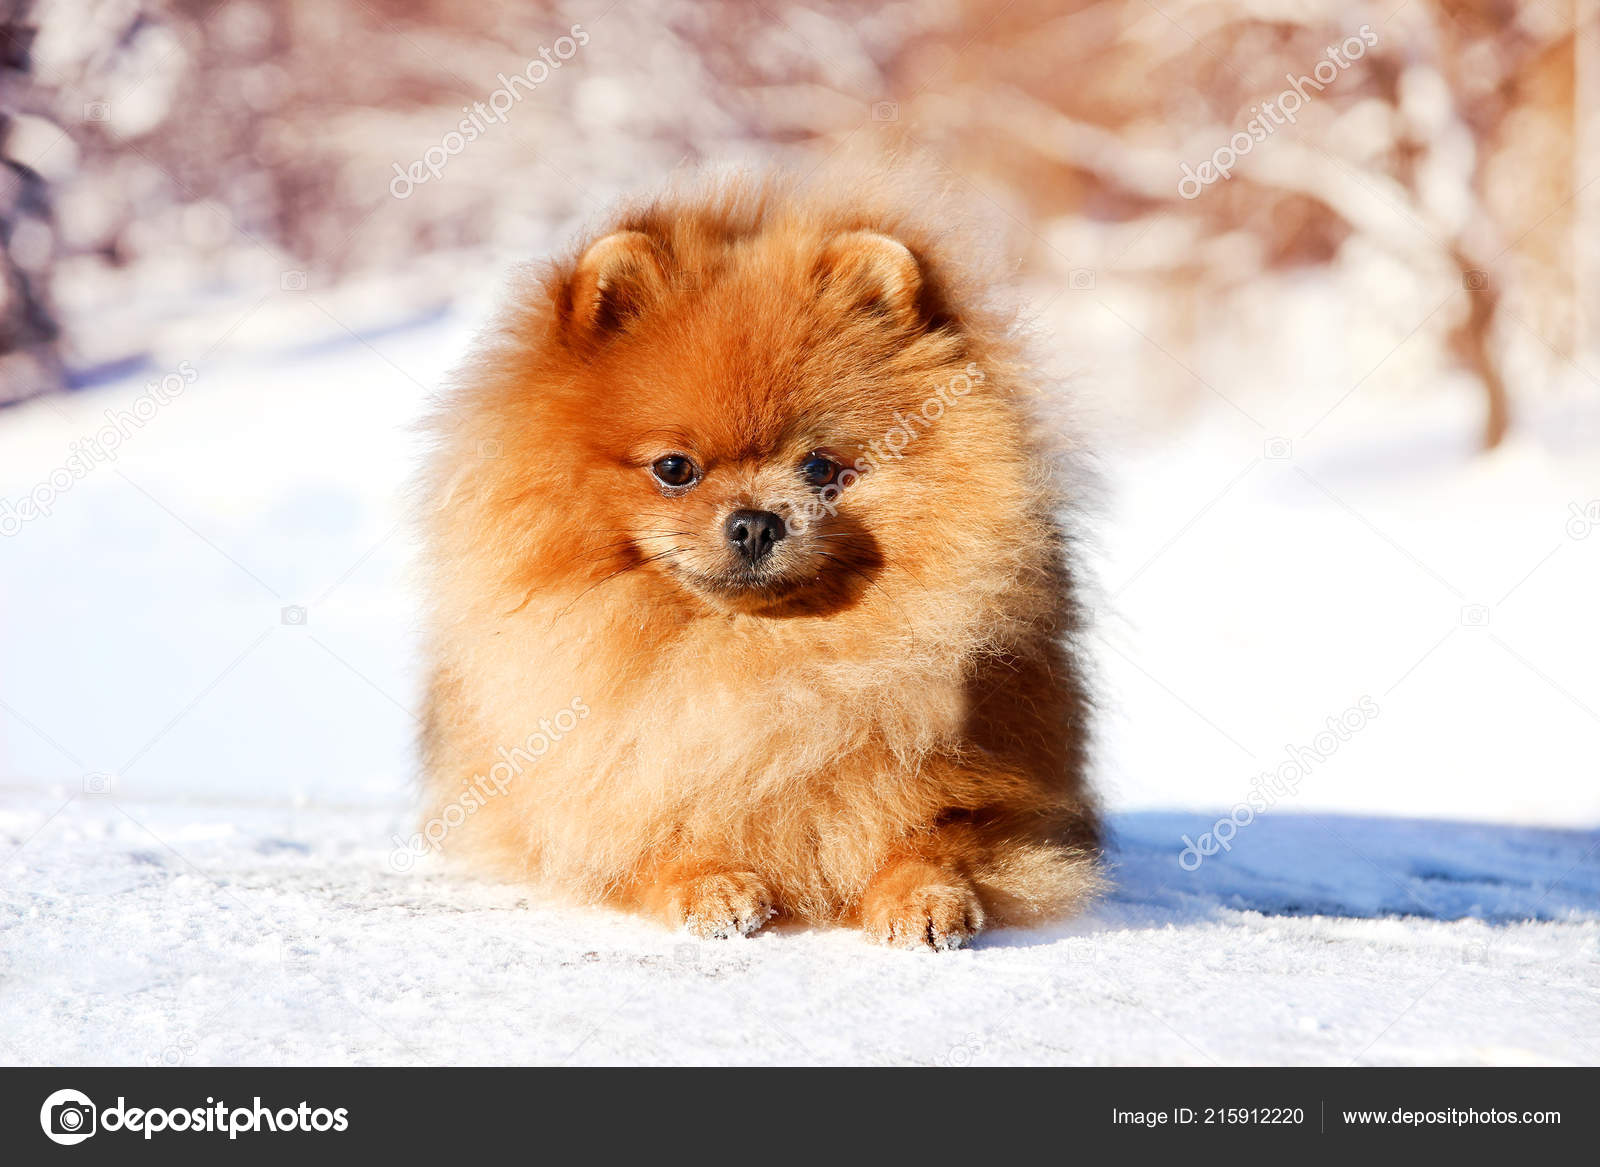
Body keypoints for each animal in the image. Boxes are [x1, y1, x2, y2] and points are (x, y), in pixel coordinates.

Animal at [419, 168, 1100, 947]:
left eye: (821, 468)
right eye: (675, 468)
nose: (754, 523)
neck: (760, 661)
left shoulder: (991, 786)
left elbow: (934, 835)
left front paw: (925, 895)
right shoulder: (602, 793)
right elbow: (652, 839)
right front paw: (708, 882)